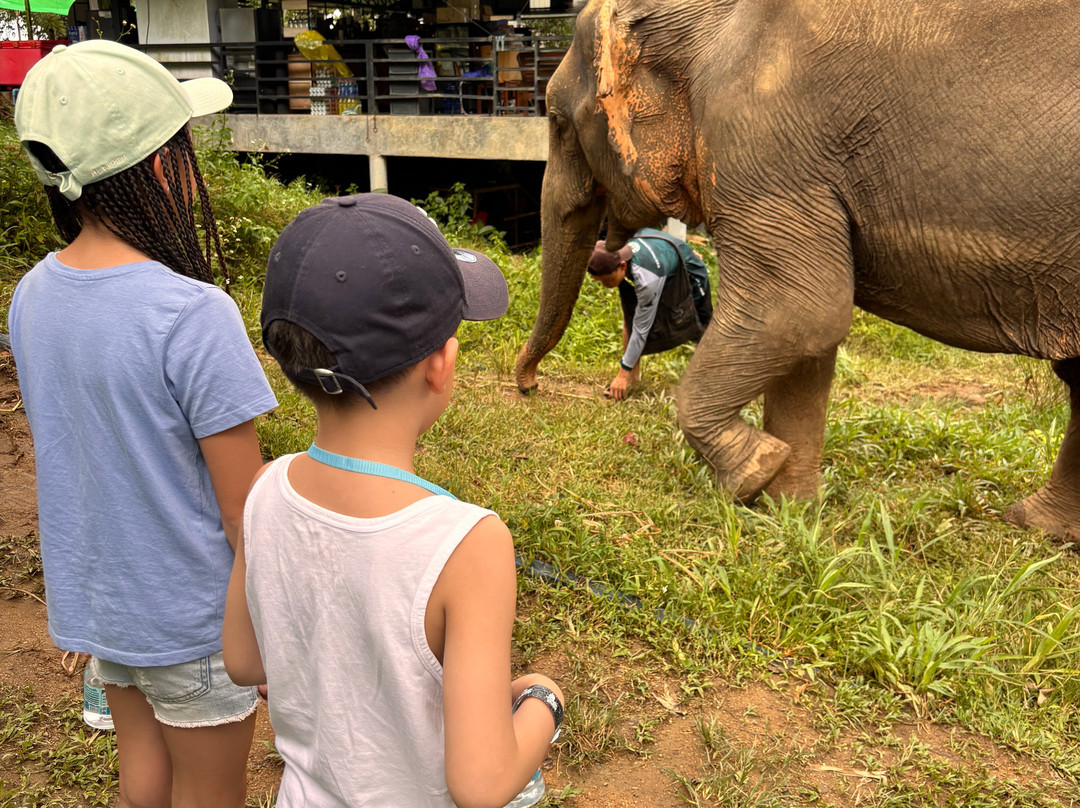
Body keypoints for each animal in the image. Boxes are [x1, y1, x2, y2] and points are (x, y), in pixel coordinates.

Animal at [515, 0, 1080, 541]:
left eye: (556, 121)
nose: (529, 386)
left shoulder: (762, 145)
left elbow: (799, 311)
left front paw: (755, 473)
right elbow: (807, 339)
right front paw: (790, 511)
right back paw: (1036, 525)